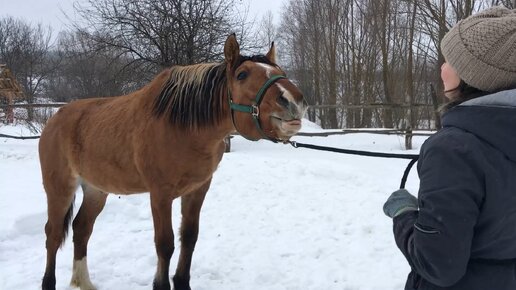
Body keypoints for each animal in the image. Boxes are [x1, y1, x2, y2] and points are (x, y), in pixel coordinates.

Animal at [39, 34, 306, 290]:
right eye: (242, 75)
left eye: (280, 71)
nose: (293, 100)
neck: (183, 126)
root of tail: (54, 119)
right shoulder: (160, 194)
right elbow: (165, 244)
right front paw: (161, 283)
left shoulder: (197, 190)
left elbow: (189, 237)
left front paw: (182, 282)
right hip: (60, 189)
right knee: (53, 235)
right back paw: (49, 282)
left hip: (96, 190)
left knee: (81, 229)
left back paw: (83, 282)